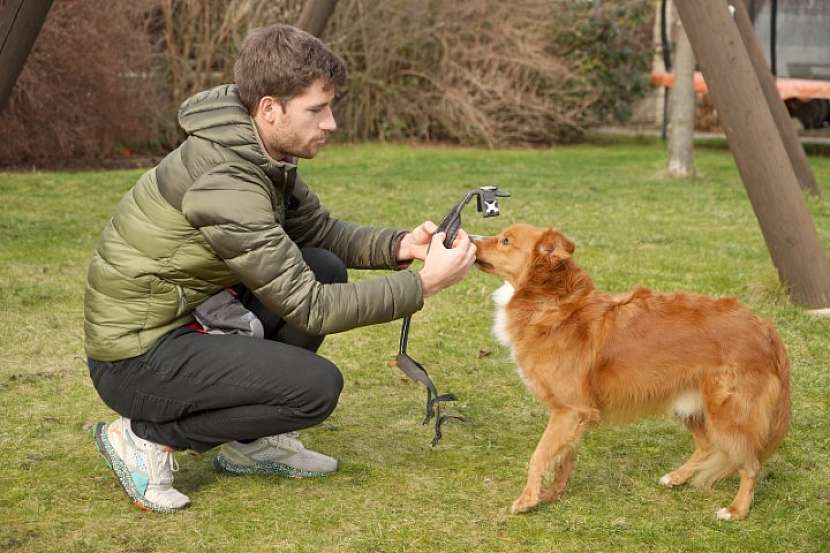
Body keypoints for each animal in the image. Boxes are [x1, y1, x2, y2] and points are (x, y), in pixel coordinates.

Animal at [474, 222, 792, 520]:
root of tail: (764, 327)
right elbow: (565, 457)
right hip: (689, 405)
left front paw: (527, 500)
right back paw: (677, 477)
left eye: (505, 241)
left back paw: (736, 510)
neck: (552, 302)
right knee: (707, 446)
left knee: (750, 465)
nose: (471, 239)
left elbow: (539, 456)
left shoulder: (569, 410)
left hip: (728, 415)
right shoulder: (577, 413)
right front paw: (554, 494)